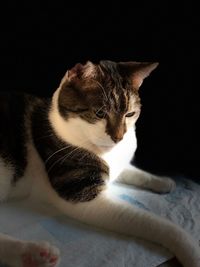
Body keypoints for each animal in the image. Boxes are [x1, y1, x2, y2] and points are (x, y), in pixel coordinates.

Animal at [0, 60, 199, 267]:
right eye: (100, 113)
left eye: (130, 114)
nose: (119, 138)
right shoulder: (83, 193)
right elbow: (154, 223)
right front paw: (191, 250)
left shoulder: (119, 163)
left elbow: (134, 171)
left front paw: (164, 182)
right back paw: (34, 253)